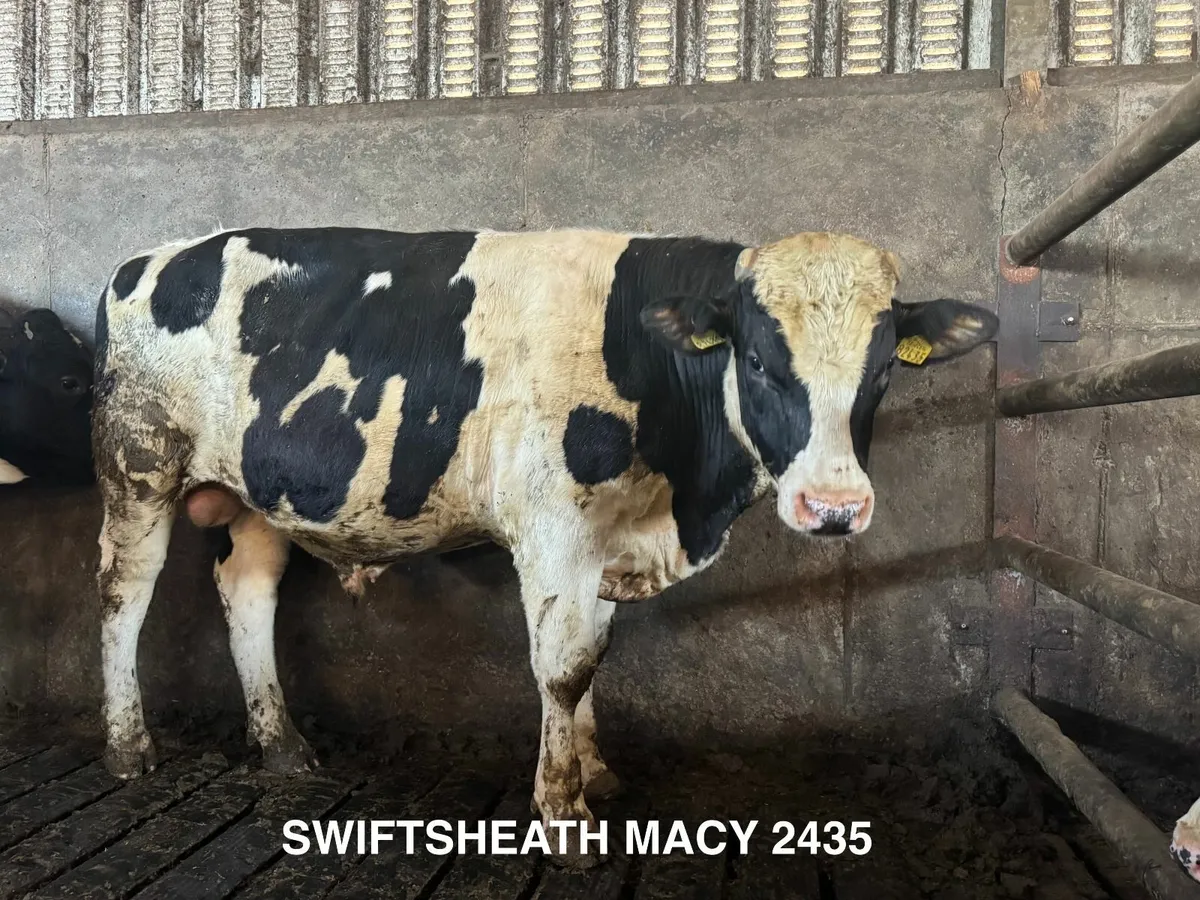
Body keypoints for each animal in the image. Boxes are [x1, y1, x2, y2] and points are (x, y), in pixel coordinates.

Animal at [93, 226, 997, 865]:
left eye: (883, 371)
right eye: (762, 362)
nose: (835, 507)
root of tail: (145, 260)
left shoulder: (603, 539)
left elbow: (593, 658)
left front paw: (595, 772)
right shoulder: (556, 530)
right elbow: (561, 670)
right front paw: (564, 817)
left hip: (258, 496)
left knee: (247, 593)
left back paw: (282, 744)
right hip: (137, 469)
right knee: (122, 597)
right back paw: (129, 748)